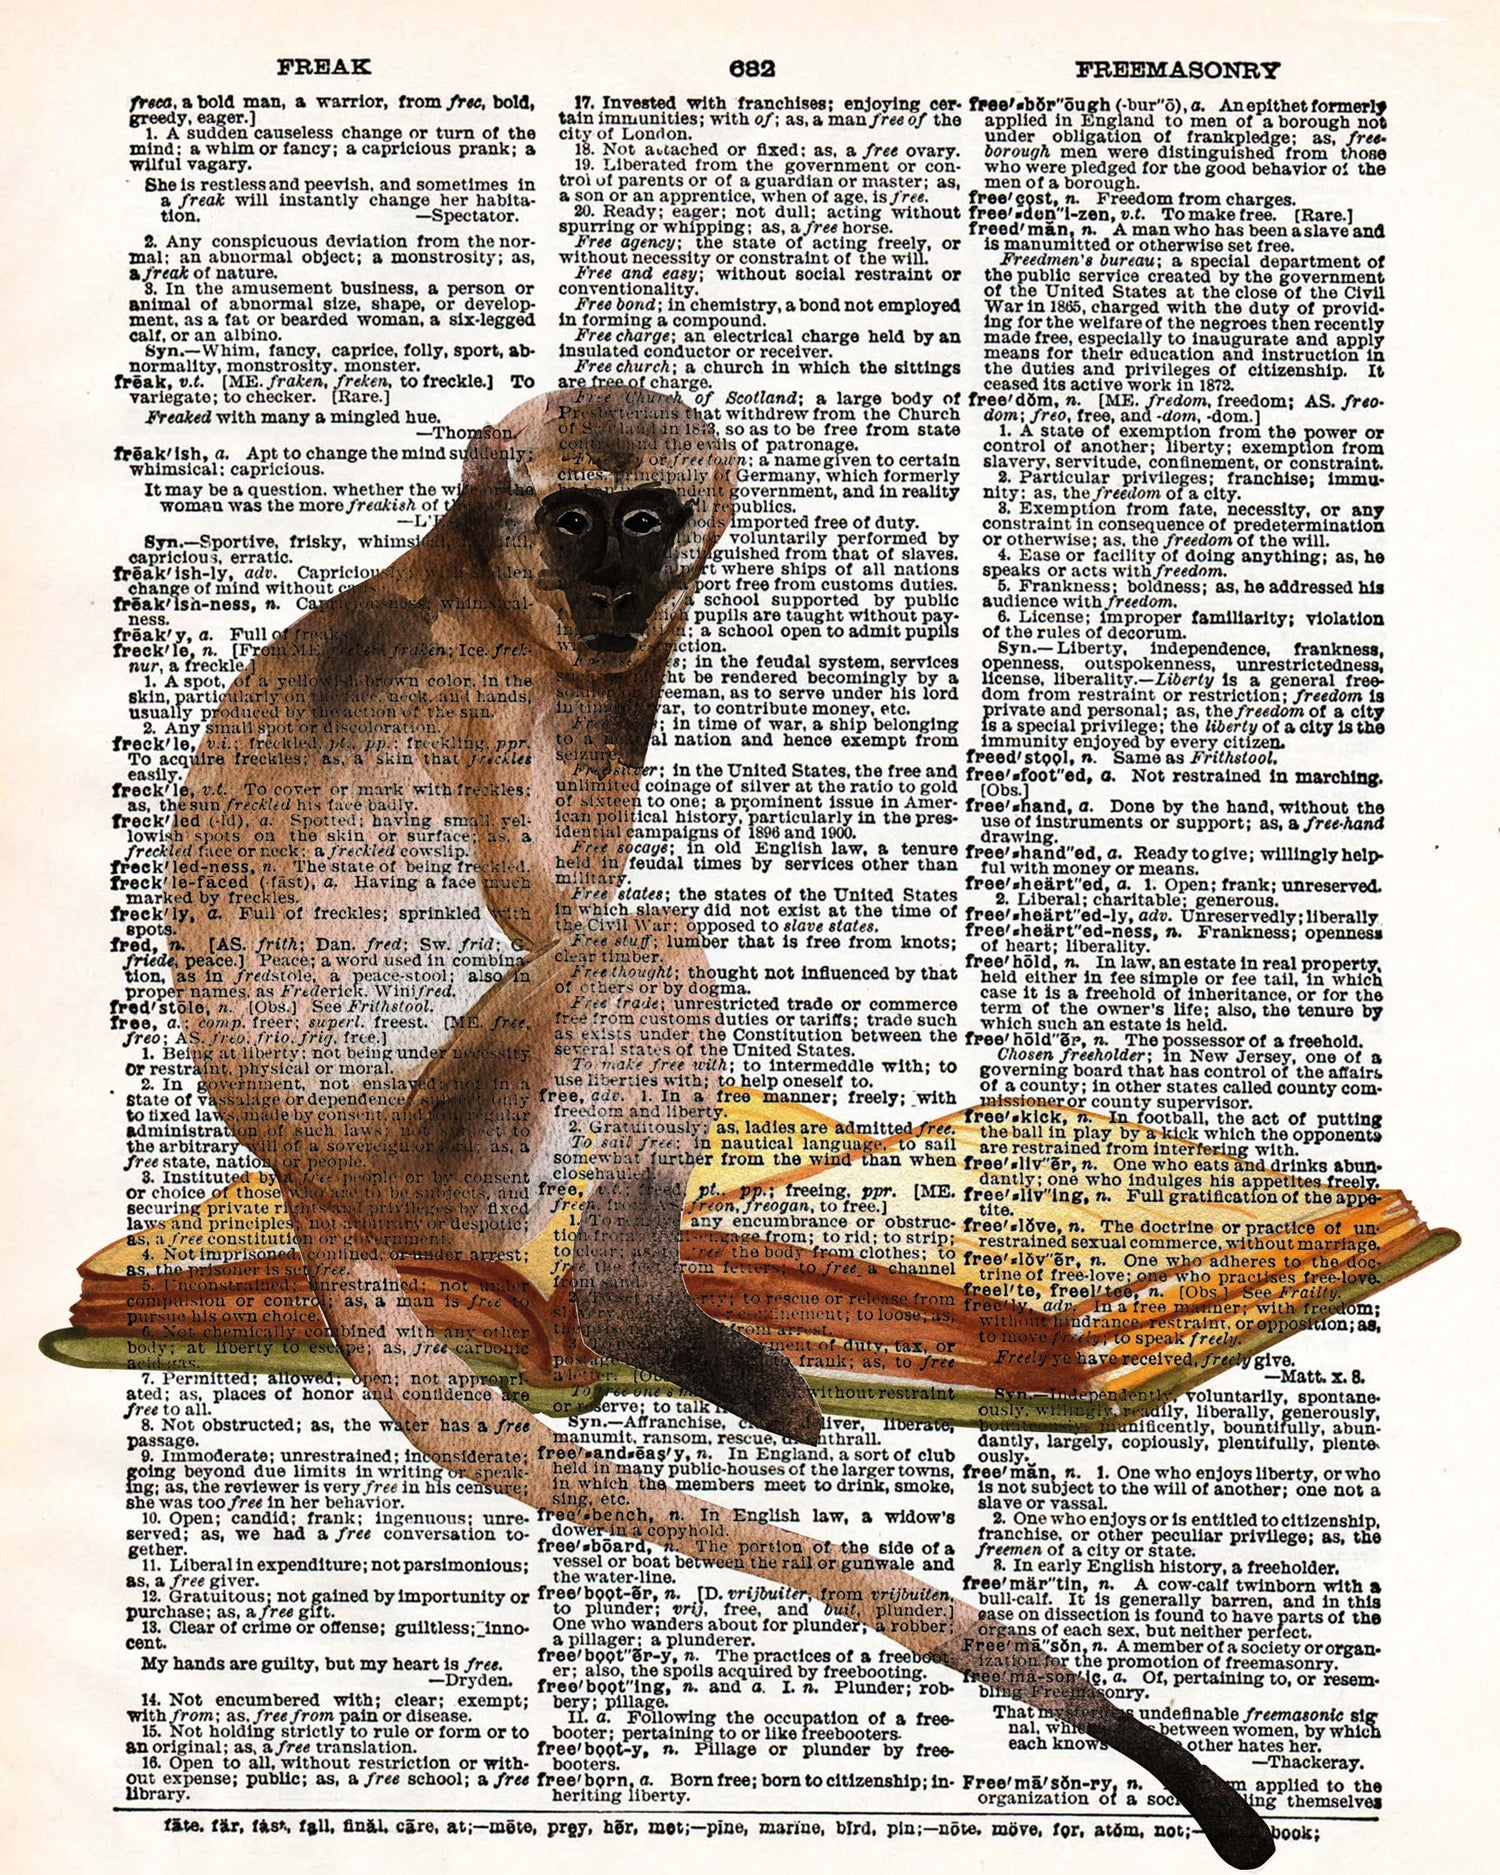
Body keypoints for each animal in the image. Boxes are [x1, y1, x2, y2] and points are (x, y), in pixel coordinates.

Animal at [165, 387, 1273, 1868]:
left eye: (645, 518)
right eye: (574, 516)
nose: (616, 589)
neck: (479, 585)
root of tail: (298, 1164)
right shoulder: (495, 697)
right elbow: (556, 908)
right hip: (458, 1167)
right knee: (649, 956)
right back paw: (640, 1306)